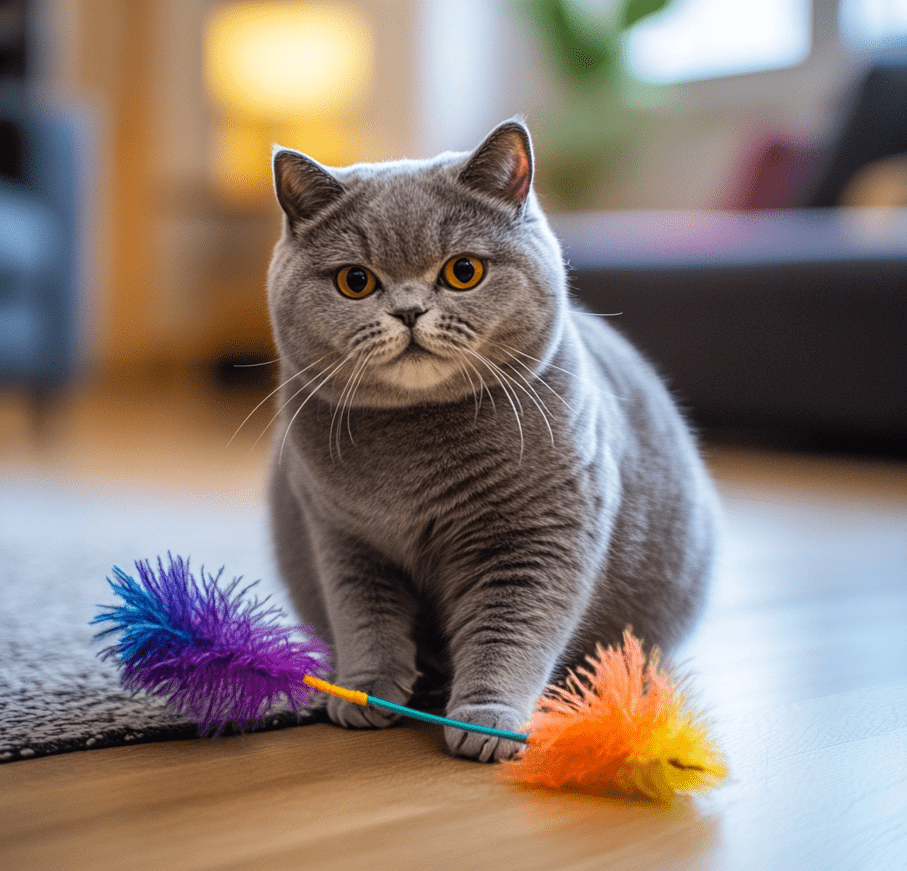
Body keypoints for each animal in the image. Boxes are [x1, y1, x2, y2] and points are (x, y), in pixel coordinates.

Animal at [266, 121, 720, 764]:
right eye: (356, 281)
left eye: (463, 272)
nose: (409, 311)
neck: (412, 457)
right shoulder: (343, 536)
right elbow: (365, 619)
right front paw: (364, 691)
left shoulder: (536, 537)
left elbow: (509, 629)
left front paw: (487, 722)